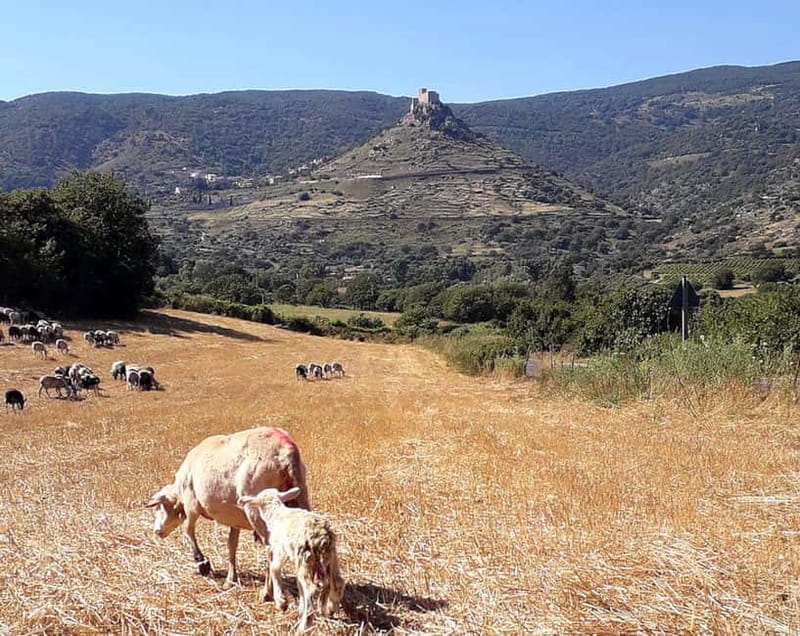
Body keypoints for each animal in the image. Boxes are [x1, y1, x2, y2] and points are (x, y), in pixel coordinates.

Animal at [147, 427, 310, 589]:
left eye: (159, 507)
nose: (157, 531)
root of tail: (286, 451)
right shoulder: (235, 519)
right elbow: (231, 544)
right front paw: (231, 578)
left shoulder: (191, 504)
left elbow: (188, 530)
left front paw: (202, 564)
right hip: (300, 495)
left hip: (257, 509)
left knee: (271, 547)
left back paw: (268, 590)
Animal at [239, 487, 344, 631]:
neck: (276, 514)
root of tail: (323, 538)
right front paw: (298, 608)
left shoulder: (279, 549)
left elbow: (274, 569)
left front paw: (281, 602)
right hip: (331, 557)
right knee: (338, 582)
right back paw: (330, 609)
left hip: (305, 559)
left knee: (310, 590)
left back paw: (304, 627)